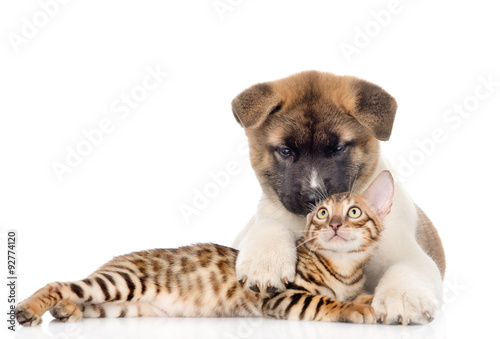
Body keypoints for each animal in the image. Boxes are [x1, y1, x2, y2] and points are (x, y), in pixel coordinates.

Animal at [15, 171, 394, 328]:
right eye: (322, 213)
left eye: (354, 212)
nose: (335, 225)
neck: (343, 269)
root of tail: (114, 260)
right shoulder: (281, 295)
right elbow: (324, 302)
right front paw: (354, 309)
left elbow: (355, 295)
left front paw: (365, 300)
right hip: (122, 282)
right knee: (59, 284)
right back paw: (29, 309)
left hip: (121, 307)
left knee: (81, 300)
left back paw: (66, 311)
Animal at [230, 71, 446, 326]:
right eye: (285, 151)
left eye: (338, 149)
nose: (314, 197)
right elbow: (268, 224)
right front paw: (264, 262)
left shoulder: (409, 252)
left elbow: (407, 266)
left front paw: (402, 298)